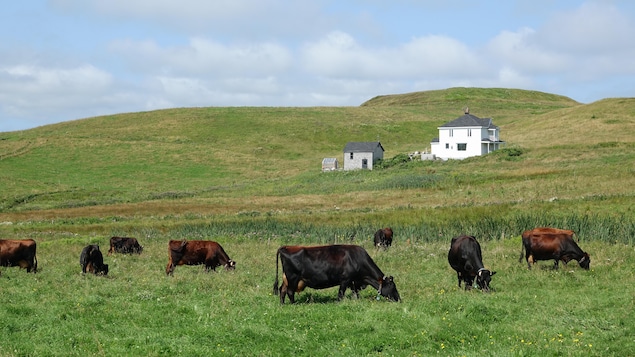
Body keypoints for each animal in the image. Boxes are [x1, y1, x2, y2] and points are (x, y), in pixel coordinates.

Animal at [274, 245, 402, 304]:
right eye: (393, 286)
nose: (399, 299)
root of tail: (286, 247)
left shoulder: (353, 282)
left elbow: (355, 293)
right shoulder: (345, 280)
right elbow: (340, 294)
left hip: (286, 278)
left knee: (282, 289)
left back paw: (282, 304)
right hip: (293, 277)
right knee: (289, 291)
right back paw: (294, 304)